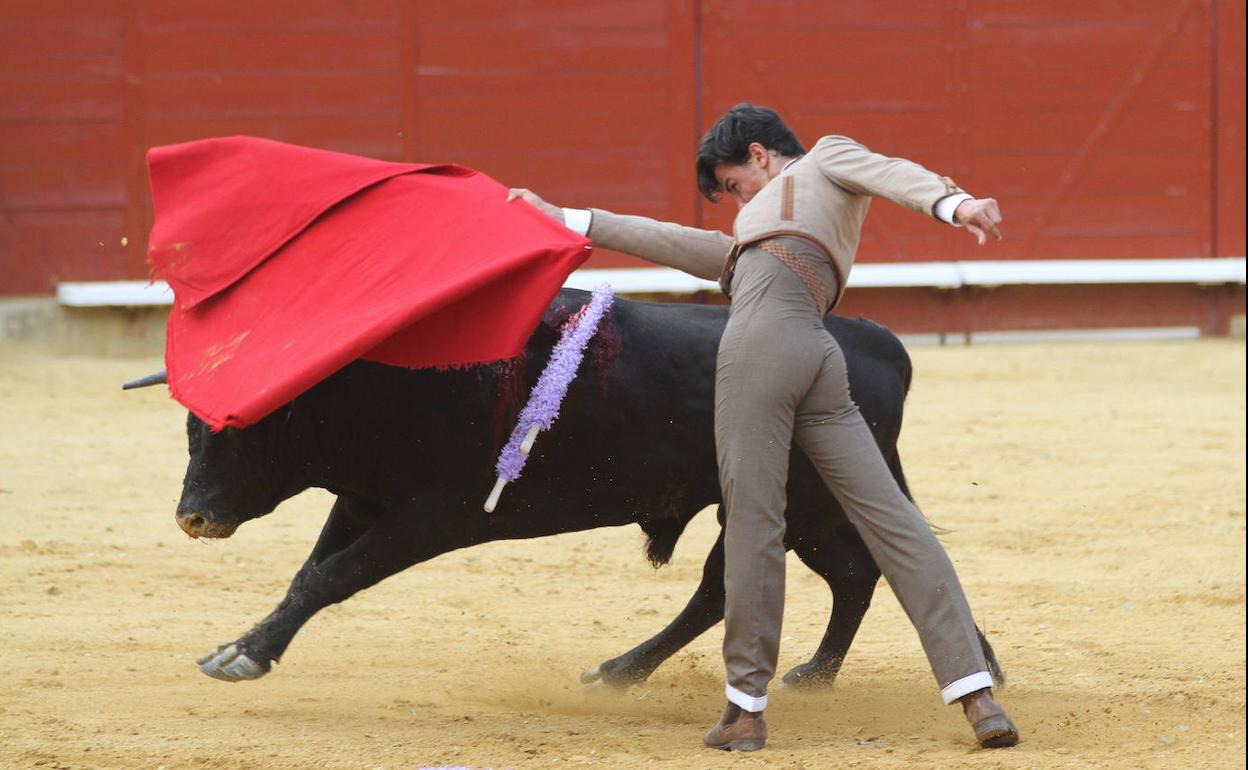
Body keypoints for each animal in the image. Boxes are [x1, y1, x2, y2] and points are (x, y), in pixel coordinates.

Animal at [175, 287, 1003, 683]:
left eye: (240, 429)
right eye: (192, 427)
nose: (191, 516)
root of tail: (875, 341)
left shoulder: (433, 515)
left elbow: (333, 576)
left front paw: (244, 657)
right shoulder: (364, 499)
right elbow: (309, 572)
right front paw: (239, 646)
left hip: (802, 501)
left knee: (806, 577)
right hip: (806, 507)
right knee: (846, 573)